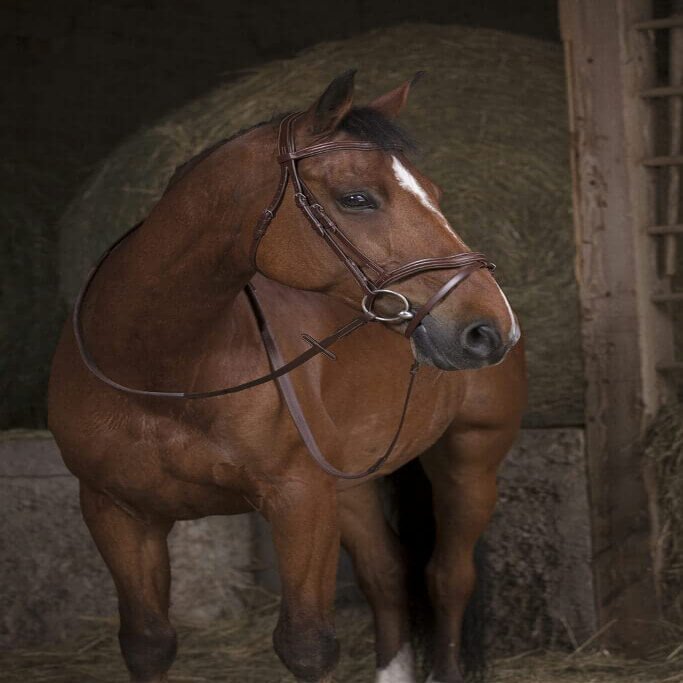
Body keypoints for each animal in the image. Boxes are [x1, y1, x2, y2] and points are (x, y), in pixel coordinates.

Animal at [48, 70, 526, 683]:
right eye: (356, 198)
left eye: (436, 195)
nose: (490, 328)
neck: (159, 370)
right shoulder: (116, 512)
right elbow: (147, 642)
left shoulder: (299, 502)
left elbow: (306, 645)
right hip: (351, 484)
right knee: (387, 574)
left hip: (471, 458)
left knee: (447, 577)